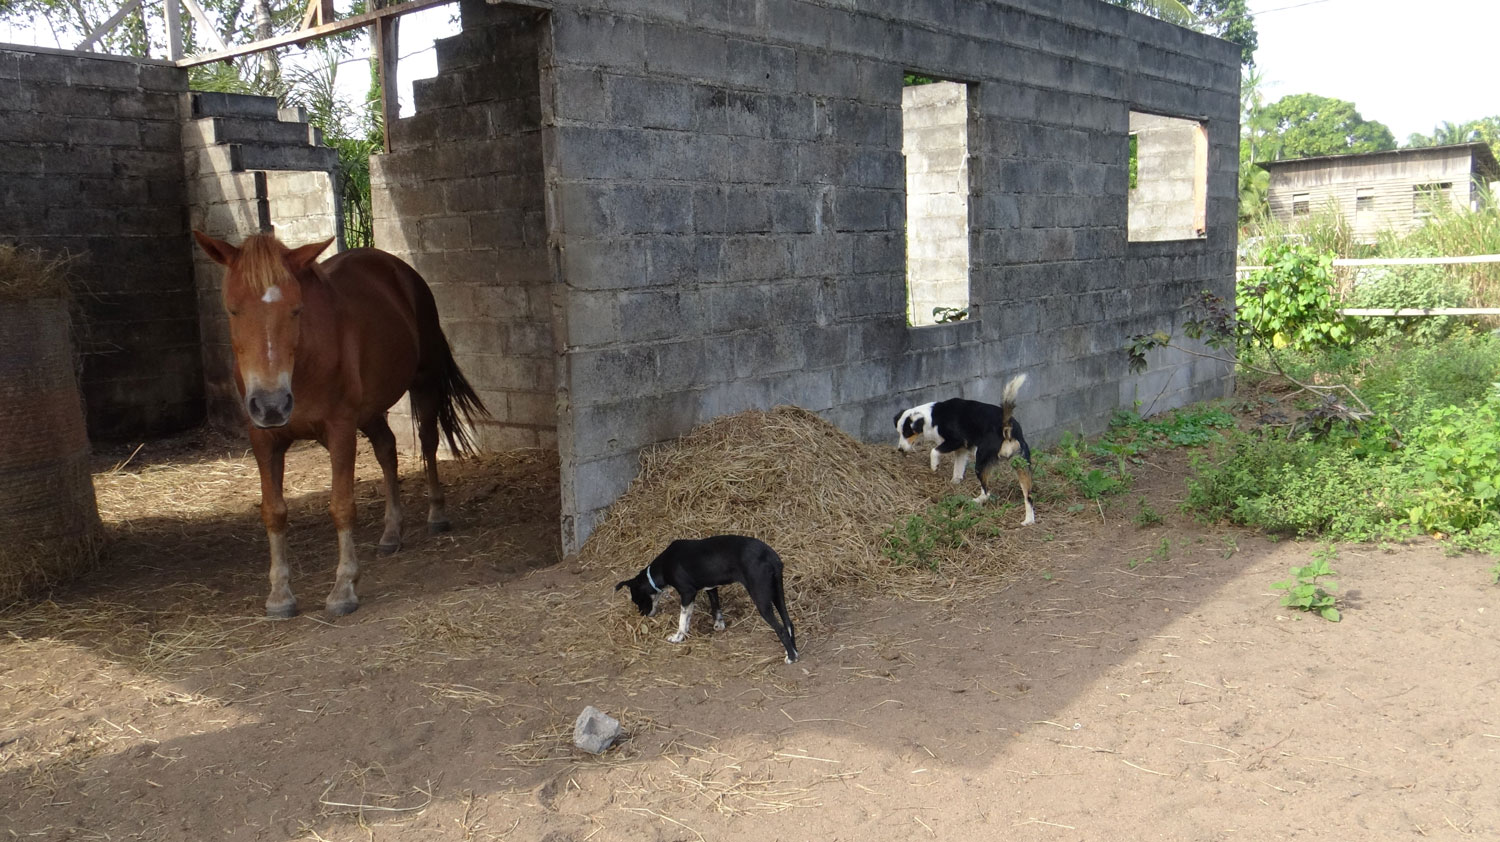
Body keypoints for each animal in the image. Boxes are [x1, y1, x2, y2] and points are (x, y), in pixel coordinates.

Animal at [193, 229, 486, 618]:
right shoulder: (263, 438)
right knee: (387, 449)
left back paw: (436, 514)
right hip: (370, 410)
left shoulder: (341, 430)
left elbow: (342, 506)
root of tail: (399, 269)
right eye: (232, 309)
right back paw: (391, 532)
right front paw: (280, 595)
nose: (272, 405)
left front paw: (344, 588)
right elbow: (274, 512)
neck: (303, 364)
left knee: (427, 441)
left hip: (422, 381)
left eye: (296, 310)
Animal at [612, 531, 798, 663]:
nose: (642, 615)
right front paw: (719, 625)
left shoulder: (687, 593)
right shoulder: (711, 588)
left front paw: (678, 637)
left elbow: (682, 618)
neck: (662, 568)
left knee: (781, 628)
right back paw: (793, 651)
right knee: (788, 623)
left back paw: (791, 657)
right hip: (776, 593)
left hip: (761, 596)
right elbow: (715, 607)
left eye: (636, 600)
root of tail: (770, 555)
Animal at [894, 370, 1038, 522]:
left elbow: (934, 451)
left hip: (981, 461)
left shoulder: (957, 441)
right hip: (1022, 465)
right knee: (1028, 496)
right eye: (899, 432)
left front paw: (934, 466)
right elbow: (957, 470)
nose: (900, 449)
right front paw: (954, 483)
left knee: (987, 492)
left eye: (907, 433)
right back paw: (1028, 521)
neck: (932, 417)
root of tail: (1006, 426)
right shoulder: (961, 450)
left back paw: (976, 501)